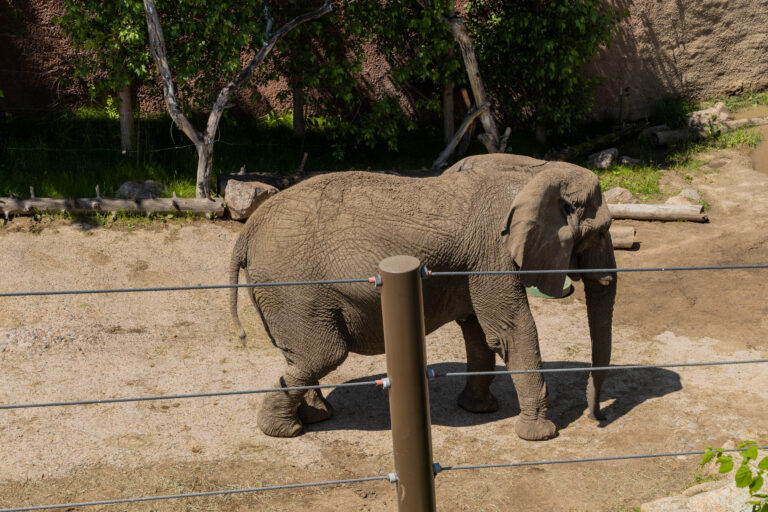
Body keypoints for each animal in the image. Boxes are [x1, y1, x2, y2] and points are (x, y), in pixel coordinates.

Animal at [230, 152, 616, 440]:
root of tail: (245, 234)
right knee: (324, 353)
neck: (533, 172)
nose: (595, 418)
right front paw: (540, 434)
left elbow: (478, 331)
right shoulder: (492, 254)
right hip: (292, 288)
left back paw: (316, 417)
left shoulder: (472, 263)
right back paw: (284, 429)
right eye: (602, 231)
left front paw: (477, 408)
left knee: (301, 356)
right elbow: (510, 331)